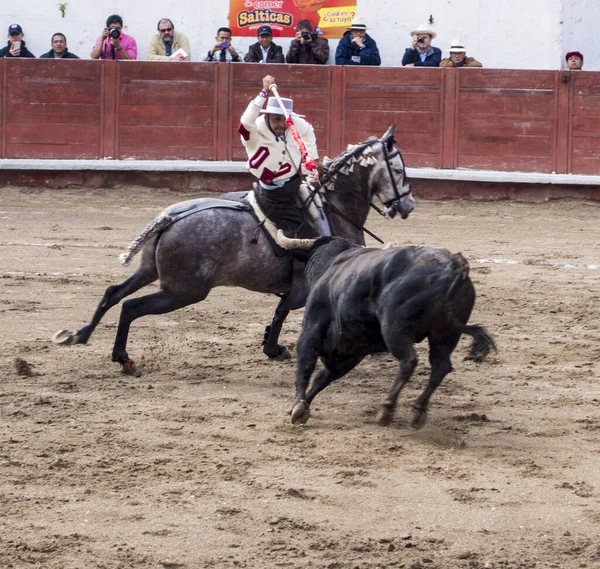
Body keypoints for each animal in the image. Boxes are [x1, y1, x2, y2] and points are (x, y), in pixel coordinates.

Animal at [54, 125, 414, 374]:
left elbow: (279, 312)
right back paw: (124, 359)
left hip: (150, 271)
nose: (408, 205)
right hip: (183, 291)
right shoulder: (311, 289)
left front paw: (272, 346)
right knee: (131, 306)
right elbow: (285, 313)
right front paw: (276, 348)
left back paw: (82, 335)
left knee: (113, 293)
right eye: (399, 170)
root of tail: (169, 218)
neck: (333, 206)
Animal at [284, 234, 500, 426]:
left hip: (395, 328)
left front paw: (298, 406)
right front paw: (304, 405)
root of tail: (455, 264)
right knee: (440, 367)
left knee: (409, 361)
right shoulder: (350, 353)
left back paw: (387, 408)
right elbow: (322, 377)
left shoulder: (312, 329)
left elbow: (305, 364)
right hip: (446, 335)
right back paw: (417, 411)